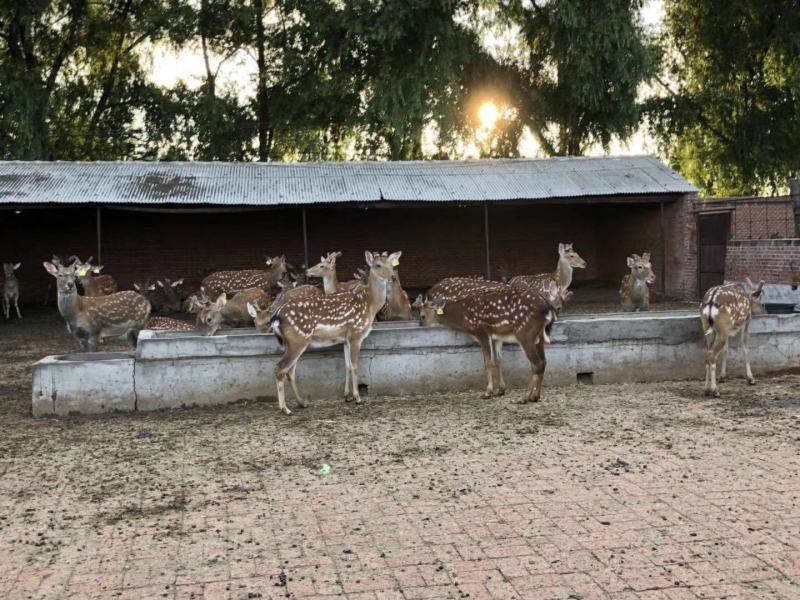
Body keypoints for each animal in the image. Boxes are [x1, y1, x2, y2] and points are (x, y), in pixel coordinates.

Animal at [272, 248, 404, 412]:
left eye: (392, 265)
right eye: (378, 265)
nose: (392, 277)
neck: (370, 305)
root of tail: (276, 316)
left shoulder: (345, 339)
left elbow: (347, 366)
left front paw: (347, 396)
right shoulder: (356, 334)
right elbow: (354, 365)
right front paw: (358, 398)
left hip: (294, 342)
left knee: (290, 371)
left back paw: (302, 403)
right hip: (298, 339)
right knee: (280, 368)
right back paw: (285, 409)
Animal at [412, 280, 564, 404]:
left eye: (422, 315)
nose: (420, 325)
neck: (465, 317)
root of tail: (549, 309)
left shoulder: (482, 331)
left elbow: (487, 362)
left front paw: (487, 392)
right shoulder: (496, 336)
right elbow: (498, 360)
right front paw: (501, 390)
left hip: (524, 332)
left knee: (536, 364)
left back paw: (524, 398)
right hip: (539, 336)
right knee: (543, 362)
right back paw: (535, 396)